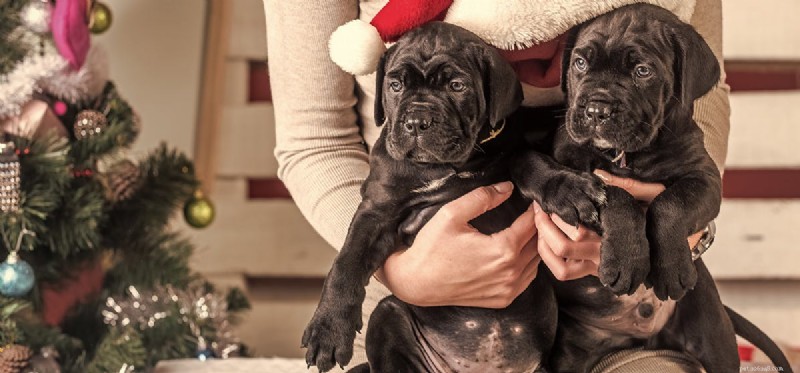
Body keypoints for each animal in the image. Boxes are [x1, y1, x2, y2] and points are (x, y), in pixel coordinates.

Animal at [300, 21, 556, 370]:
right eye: (395, 85)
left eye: (457, 86)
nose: (417, 121)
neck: (440, 168)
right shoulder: (377, 211)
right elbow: (346, 261)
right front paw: (328, 330)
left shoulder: (507, 160)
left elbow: (526, 158)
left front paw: (568, 188)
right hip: (388, 313)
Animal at [512, 3, 792, 372]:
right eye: (580, 63)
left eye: (643, 71)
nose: (597, 109)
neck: (628, 155)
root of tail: (641, 335)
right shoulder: (572, 162)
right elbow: (616, 194)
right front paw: (628, 259)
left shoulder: (704, 179)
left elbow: (670, 203)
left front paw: (669, 267)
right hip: (571, 355)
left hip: (712, 332)